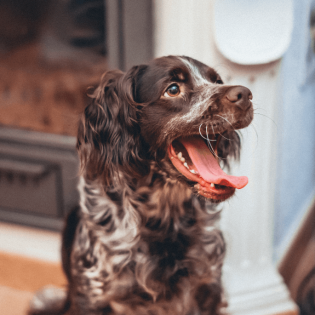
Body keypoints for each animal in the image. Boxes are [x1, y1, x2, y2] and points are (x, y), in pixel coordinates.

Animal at [29, 56, 254, 315]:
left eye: (216, 81)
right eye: (173, 89)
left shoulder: (209, 288)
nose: (245, 94)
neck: (165, 220)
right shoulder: (91, 297)